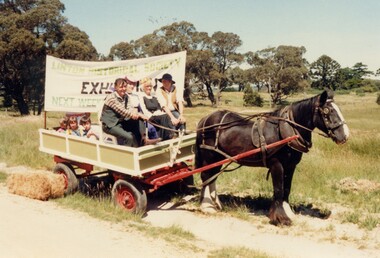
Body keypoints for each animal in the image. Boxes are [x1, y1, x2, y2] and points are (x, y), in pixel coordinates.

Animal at [196, 89, 350, 226]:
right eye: (327, 111)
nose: (345, 135)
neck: (286, 131)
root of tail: (205, 119)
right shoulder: (277, 165)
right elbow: (278, 190)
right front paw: (281, 218)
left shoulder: (291, 166)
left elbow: (287, 189)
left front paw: (288, 213)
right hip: (210, 156)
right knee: (206, 176)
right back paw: (206, 206)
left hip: (218, 158)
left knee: (212, 177)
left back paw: (216, 204)